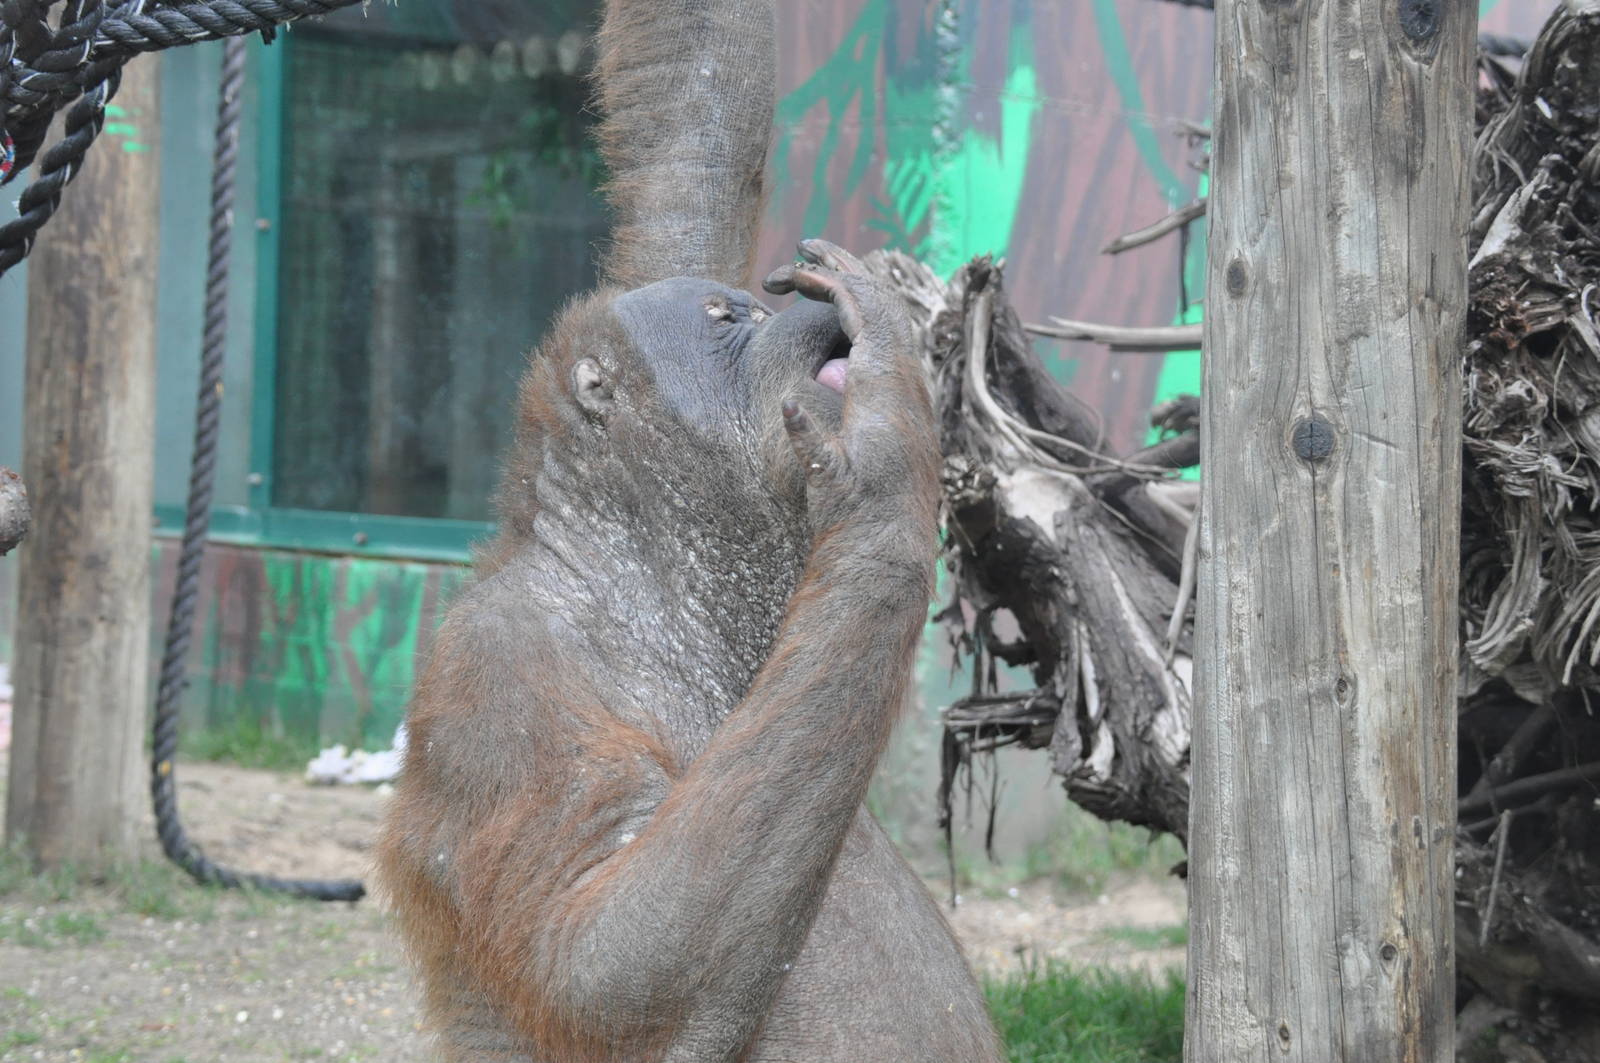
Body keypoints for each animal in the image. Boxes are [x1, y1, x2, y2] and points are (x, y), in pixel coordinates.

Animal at [374, 0, 1003, 1059]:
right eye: (723, 320)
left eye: (750, 306)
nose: (789, 319)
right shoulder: (494, 674)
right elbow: (609, 967)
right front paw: (890, 450)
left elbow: (692, 131)